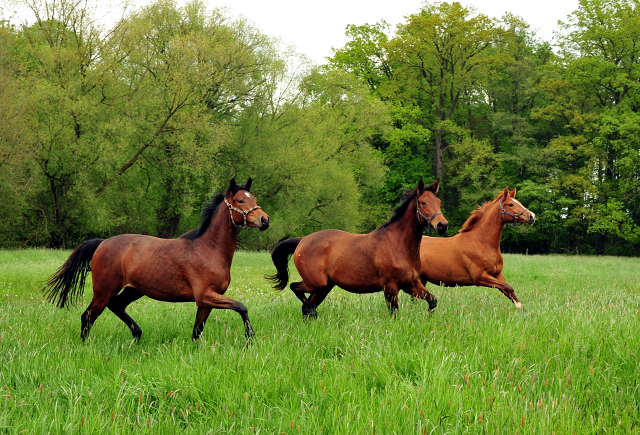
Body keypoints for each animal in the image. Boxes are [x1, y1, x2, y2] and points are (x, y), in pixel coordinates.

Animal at [42, 179, 268, 342]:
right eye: (240, 201)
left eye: (254, 197)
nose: (264, 220)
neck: (209, 249)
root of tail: (102, 243)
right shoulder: (205, 296)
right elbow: (241, 307)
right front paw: (250, 337)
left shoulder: (206, 301)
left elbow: (197, 332)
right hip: (104, 290)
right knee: (88, 316)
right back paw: (85, 345)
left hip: (134, 290)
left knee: (116, 306)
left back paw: (137, 334)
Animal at [268, 179, 448, 318]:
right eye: (423, 203)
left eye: (439, 202)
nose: (442, 225)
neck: (398, 245)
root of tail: (303, 240)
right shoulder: (390, 287)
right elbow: (394, 314)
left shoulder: (411, 284)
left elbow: (432, 300)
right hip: (315, 283)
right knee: (295, 289)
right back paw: (313, 312)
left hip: (324, 287)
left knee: (306, 307)